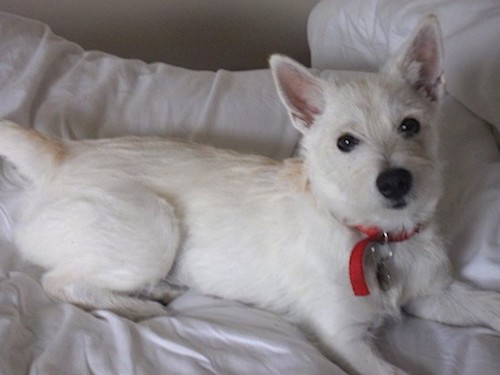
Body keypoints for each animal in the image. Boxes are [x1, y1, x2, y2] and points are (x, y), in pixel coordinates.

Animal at [0, 14, 500, 375]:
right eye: (345, 142)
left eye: (410, 126)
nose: (395, 181)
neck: (376, 236)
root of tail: (62, 152)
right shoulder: (343, 337)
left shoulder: (434, 294)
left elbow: (485, 304)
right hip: (151, 228)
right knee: (60, 281)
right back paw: (137, 303)